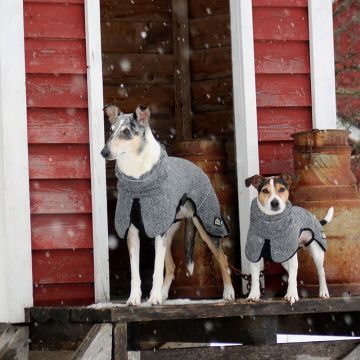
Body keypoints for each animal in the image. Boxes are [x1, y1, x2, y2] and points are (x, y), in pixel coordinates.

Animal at [102, 105, 236, 306]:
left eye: (126, 132)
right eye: (111, 131)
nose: (104, 152)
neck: (137, 179)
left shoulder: (158, 232)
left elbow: (157, 270)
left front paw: (154, 298)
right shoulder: (133, 230)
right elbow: (135, 272)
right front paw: (134, 298)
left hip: (206, 224)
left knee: (223, 258)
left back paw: (228, 292)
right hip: (167, 230)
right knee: (172, 266)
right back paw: (164, 294)